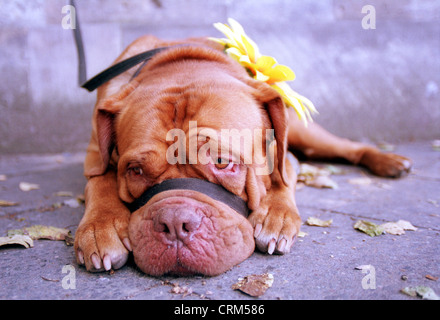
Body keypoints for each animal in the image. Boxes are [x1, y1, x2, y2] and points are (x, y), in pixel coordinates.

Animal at [73, 34, 412, 276]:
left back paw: (389, 161)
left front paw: (276, 217)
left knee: (346, 147)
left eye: (223, 162)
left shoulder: (284, 159)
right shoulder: (94, 156)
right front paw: (101, 227)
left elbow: (282, 181)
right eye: (136, 171)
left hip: (306, 132)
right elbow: (100, 181)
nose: (174, 222)